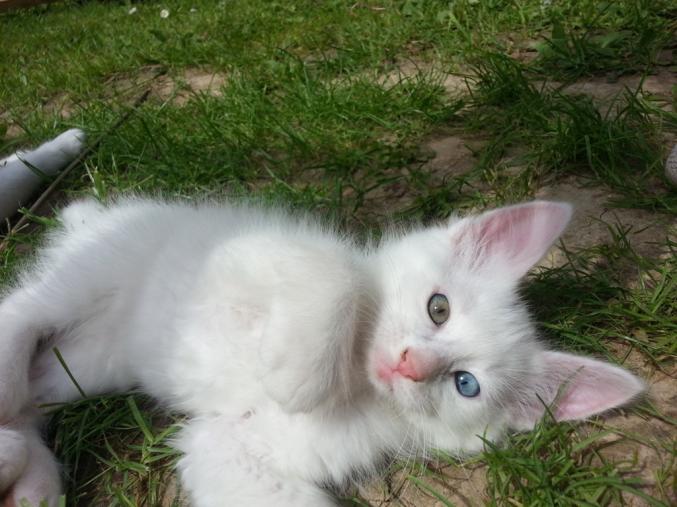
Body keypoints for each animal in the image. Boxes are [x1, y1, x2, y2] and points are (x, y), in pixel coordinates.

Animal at [0, 198, 644, 507]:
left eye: (465, 384)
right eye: (438, 308)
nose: (410, 365)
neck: (354, 375)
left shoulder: (232, 444)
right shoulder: (251, 252)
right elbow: (342, 279)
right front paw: (300, 376)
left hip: (85, 367)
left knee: (35, 394)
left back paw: (29, 479)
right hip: (96, 277)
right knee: (24, 309)